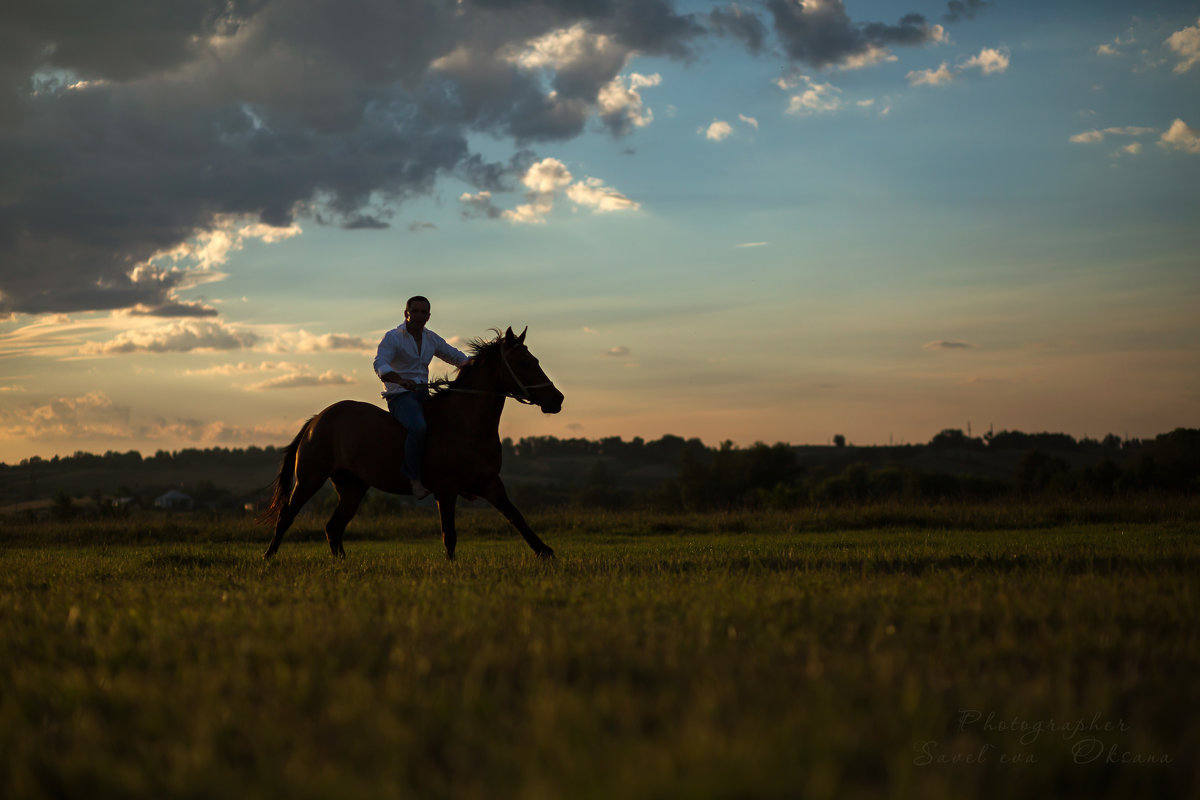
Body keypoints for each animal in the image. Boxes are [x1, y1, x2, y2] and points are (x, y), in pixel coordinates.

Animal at [256, 328, 561, 561]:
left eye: (534, 359)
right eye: (524, 363)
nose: (557, 399)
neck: (467, 424)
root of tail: (316, 420)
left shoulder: (491, 484)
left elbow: (516, 517)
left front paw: (545, 552)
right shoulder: (446, 489)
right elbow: (449, 534)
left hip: (352, 487)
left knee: (333, 528)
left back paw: (341, 563)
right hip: (309, 479)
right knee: (287, 516)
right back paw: (268, 559)